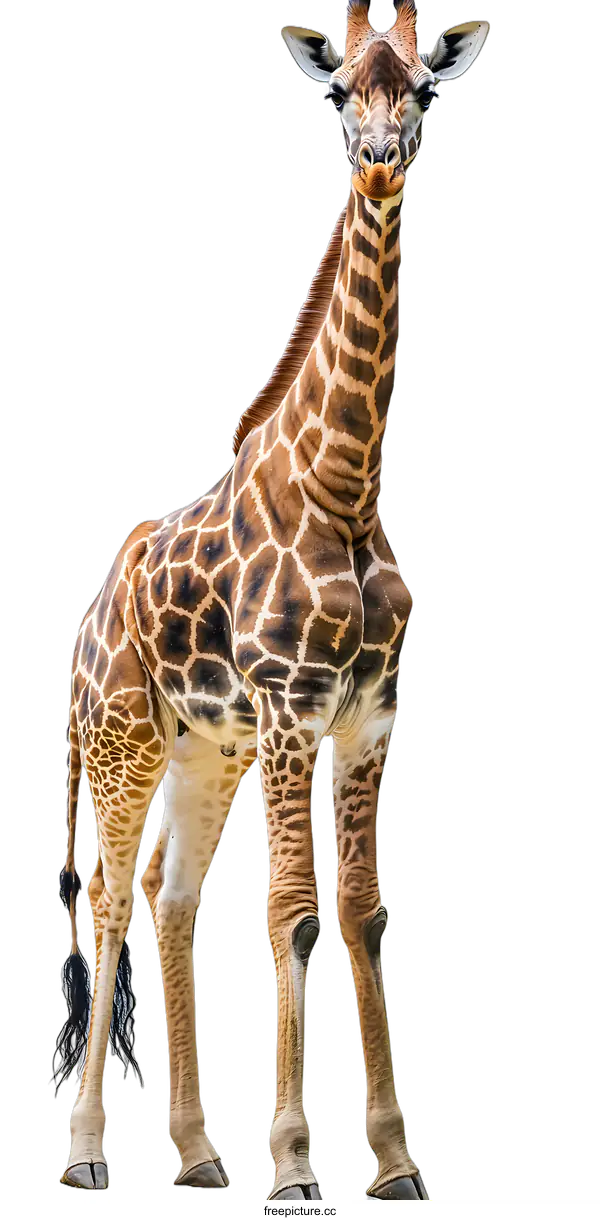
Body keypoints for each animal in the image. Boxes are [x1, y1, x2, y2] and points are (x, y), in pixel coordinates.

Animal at [53, 1, 490, 1199]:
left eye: (422, 89)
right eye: (339, 90)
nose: (381, 156)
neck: (346, 484)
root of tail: (84, 623)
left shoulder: (369, 711)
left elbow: (363, 914)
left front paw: (394, 1161)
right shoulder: (295, 705)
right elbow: (294, 915)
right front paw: (296, 1163)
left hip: (207, 750)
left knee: (169, 901)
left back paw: (201, 1157)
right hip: (121, 742)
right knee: (109, 899)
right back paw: (87, 1155)